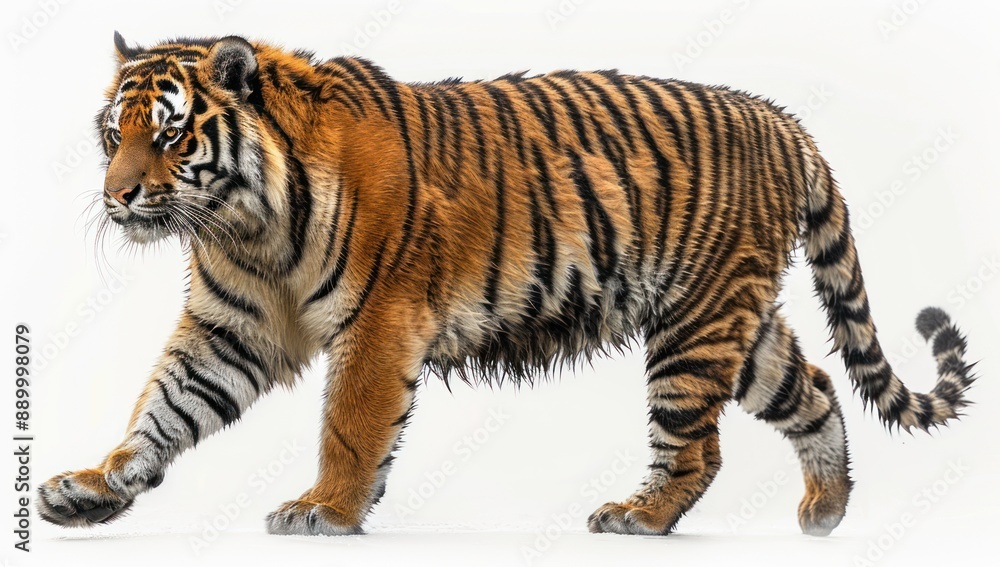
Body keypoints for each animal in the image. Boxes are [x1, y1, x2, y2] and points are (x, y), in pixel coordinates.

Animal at [38, 33, 975, 537]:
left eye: (168, 135)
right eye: (113, 133)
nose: (117, 196)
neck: (244, 222)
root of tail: (787, 123)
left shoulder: (379, 321)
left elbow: (349, 427)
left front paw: (324, 509)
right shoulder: (232, 325)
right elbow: (164, 405)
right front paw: (93, 487)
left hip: (696, 324)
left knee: (699, 445)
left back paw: (639, 516)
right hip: (733, 321)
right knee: (812, 387)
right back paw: (825, 509)